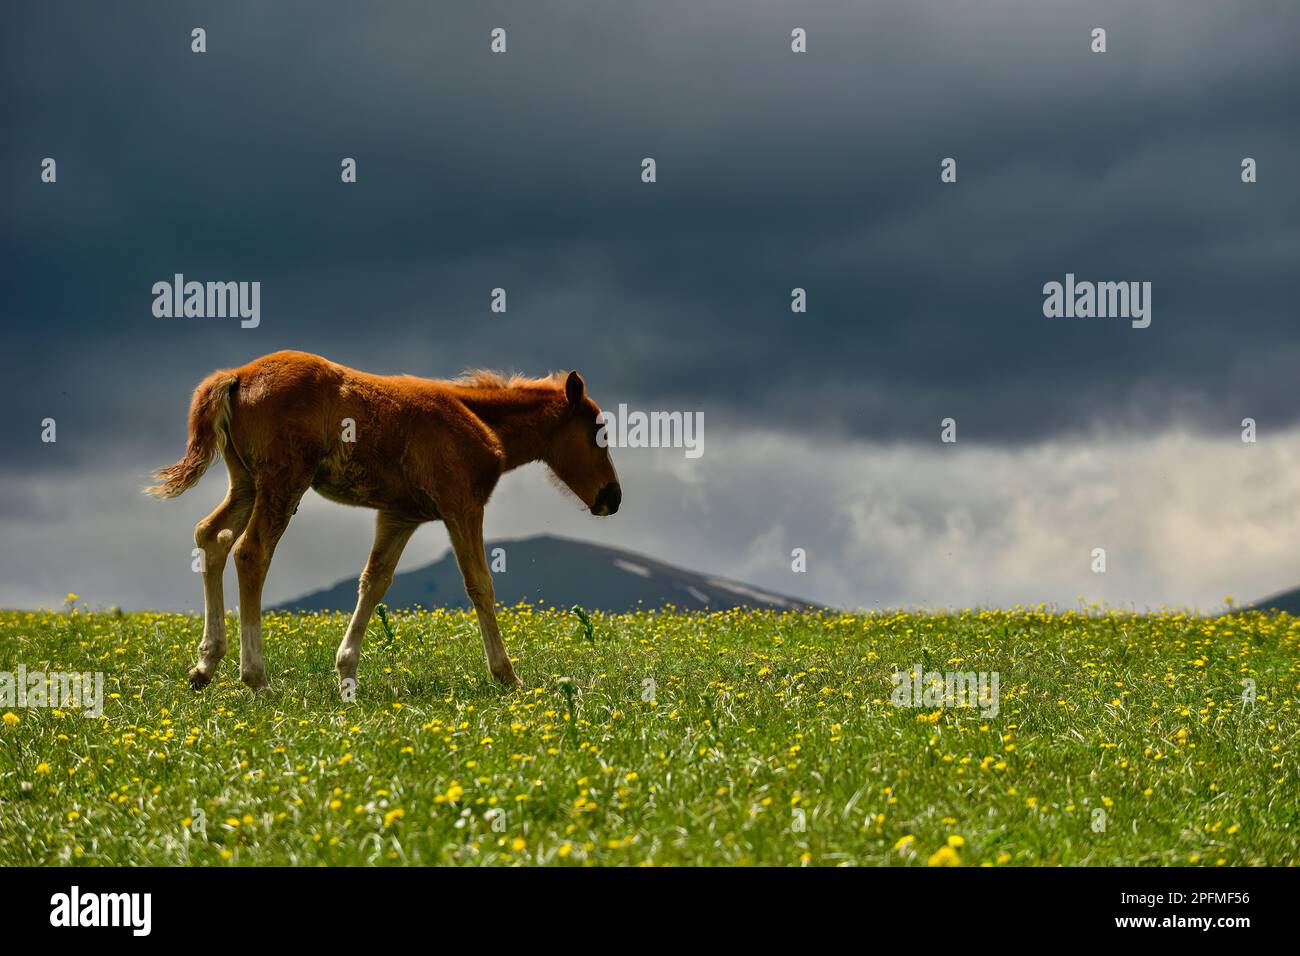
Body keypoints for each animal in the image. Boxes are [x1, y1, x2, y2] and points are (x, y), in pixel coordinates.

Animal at [147, 348, 624, 691]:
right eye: (596, 431)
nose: (613, 497)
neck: (477, 419)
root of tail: (238, 375)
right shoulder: (463, 506)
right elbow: (480, 585)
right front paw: (507, 675)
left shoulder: (399, 516)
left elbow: (374, 582)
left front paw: (346, 670)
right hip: (283, 481)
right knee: (251, 551)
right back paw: (257, 678)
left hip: (246, 482)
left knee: (212, 536)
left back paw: (205, 665)